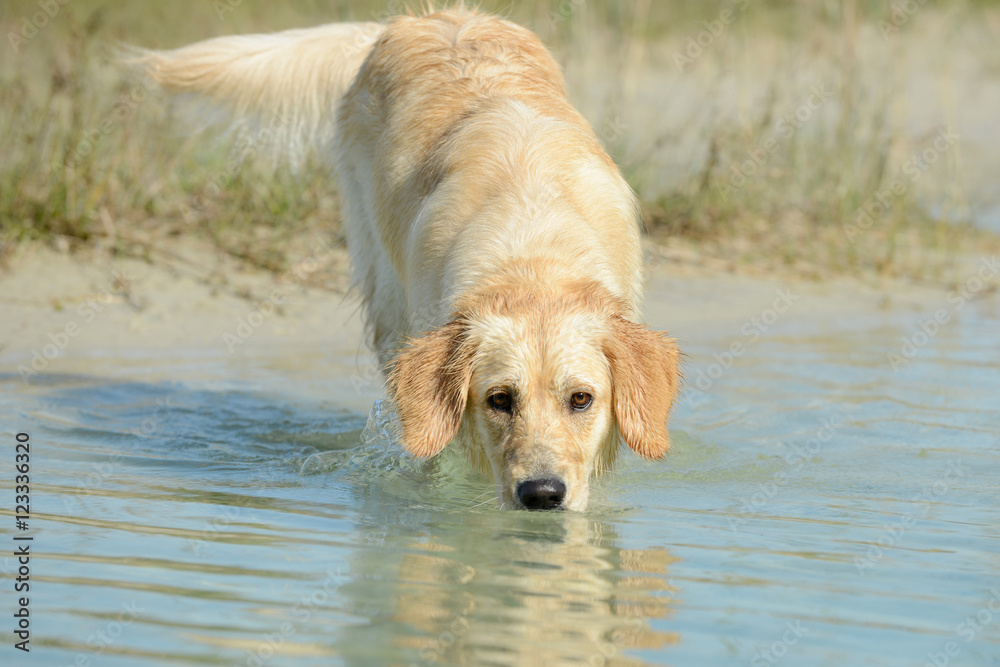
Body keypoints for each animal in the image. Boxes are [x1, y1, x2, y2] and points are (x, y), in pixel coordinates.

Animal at [135, 3, 680, 512]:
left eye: (581, 399)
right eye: (499, 400)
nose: (541, 494)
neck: (534, 252)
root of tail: (416, 18)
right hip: (383, 300)